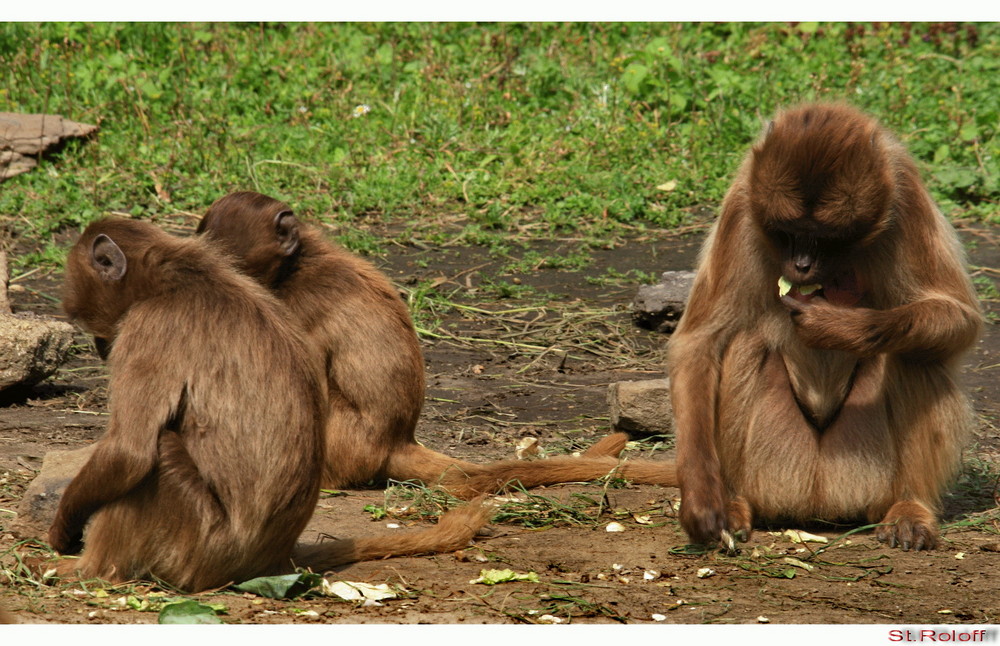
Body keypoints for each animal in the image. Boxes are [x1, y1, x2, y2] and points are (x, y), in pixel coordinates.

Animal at [47, 220, 492, 596]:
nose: (98, 347)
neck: (175, 277)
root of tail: (271, 558)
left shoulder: (149, 328)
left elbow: (130, 452)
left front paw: (62, 532)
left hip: (199, 547)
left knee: (160, 452)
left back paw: (88, 571)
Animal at [195, 190, 680, 498]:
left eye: (232, 262)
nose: (219, 281)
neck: (299, 264)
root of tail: (394, 442)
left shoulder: (295, 303)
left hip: (340, 447)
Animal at [668, 104, 980, 556]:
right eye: (787, 233)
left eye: (826, 239)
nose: (801, 265)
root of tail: (820, 503)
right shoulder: (743, 202)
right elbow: (699, 342)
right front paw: (702, 498)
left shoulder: (905, 193)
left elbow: (959, 319)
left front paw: (840, 326)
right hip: (781, 467)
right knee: (744, 342)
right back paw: (738, 500)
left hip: (862, 474)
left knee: (915, 351)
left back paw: (910, 505)